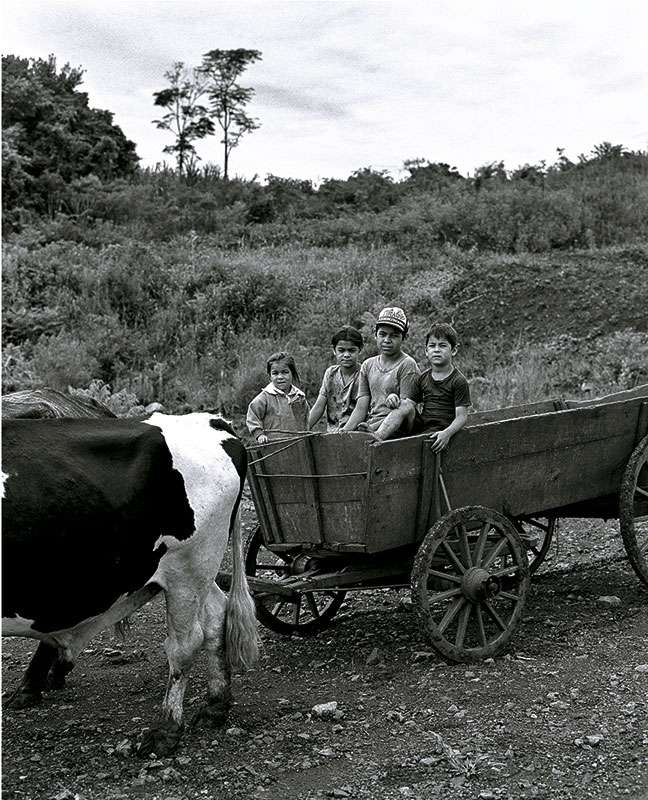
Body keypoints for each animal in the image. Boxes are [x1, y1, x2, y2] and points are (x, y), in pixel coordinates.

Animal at [3, 412, 260, 756]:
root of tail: (211, 420)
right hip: (197, 570)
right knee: (217, 617)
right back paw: (214, 706)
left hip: (186, 570)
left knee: (185, 644)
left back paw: (166, 729)